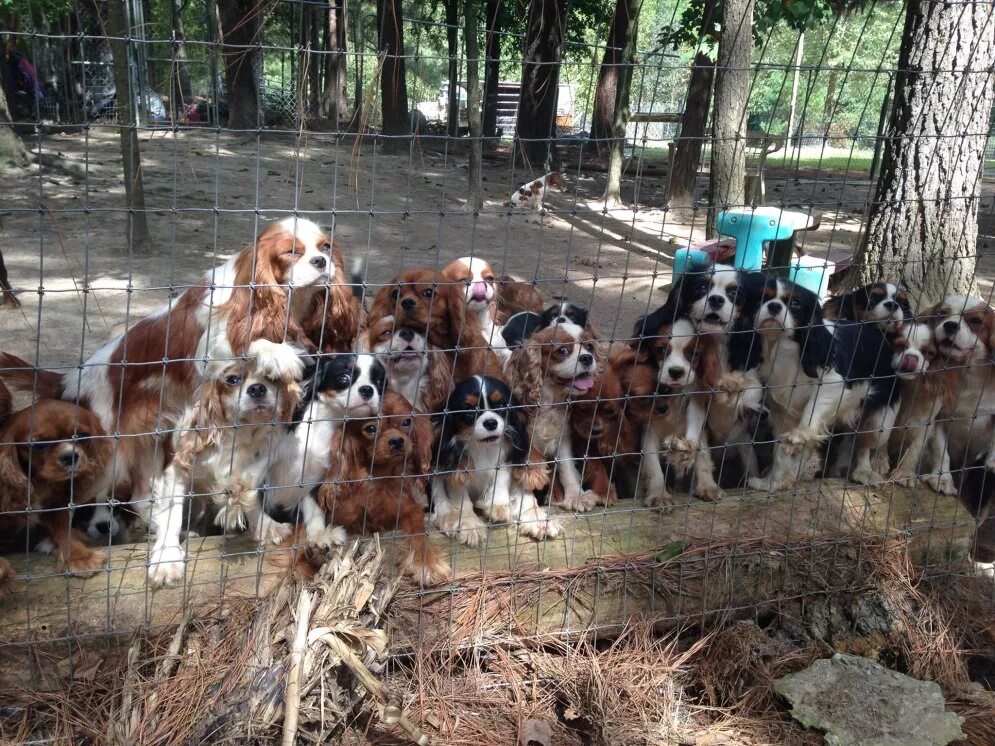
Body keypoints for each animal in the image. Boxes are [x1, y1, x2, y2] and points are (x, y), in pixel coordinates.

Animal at [0, 398, 112, 584]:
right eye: (38, 445)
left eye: (82, 436)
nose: (70, 455)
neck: (40, 483)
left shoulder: (56, 503)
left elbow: (63, 529)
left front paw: (80, 557)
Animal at [320, 386, 448, 584]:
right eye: (371, 428)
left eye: (406, 422)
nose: (397, 441)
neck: (382, 479)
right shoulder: (344, 521)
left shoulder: (410, 510)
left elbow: (419, 534)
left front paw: (427, 563)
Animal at [434, 374, 560, 544]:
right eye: (469, 410)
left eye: (501, 405)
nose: (490, 422)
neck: (484, 447)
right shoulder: (454, 470)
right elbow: (462, 499)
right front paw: (470, 525)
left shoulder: (506, 458)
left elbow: (503, 476)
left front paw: (499, 505)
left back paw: (539, 520)